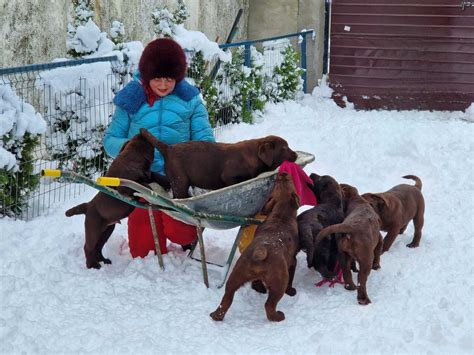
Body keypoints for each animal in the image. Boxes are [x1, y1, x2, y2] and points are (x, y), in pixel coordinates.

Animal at [65, 131, 165, 270]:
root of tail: (88, 205)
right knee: (88, 247)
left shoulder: (146, 175)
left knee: (98, 247)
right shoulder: (125, 188)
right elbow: (141, 185)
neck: (131, 159)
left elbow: (152, 178)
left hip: (107, 230)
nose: (142, 131)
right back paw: (93, 265)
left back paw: (103, 260)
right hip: (94, 229)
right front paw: (151, 192)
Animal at [139, 128, 298, 199]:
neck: (253, 156)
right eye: (284, 148)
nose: (296, 154)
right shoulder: (228, 176)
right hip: (180, 180)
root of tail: (168, 148)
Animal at [211, 172, 300, 322]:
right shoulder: (293, 261)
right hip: (279, 284)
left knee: (226, 300)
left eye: (280, 182)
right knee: (269, 306)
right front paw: (291, 291)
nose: (282, 173)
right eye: (292, 182)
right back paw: (278, 316)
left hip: (235, 276)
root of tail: (262, 250)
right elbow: (291, 280)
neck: (281, 214)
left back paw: (215, 316)